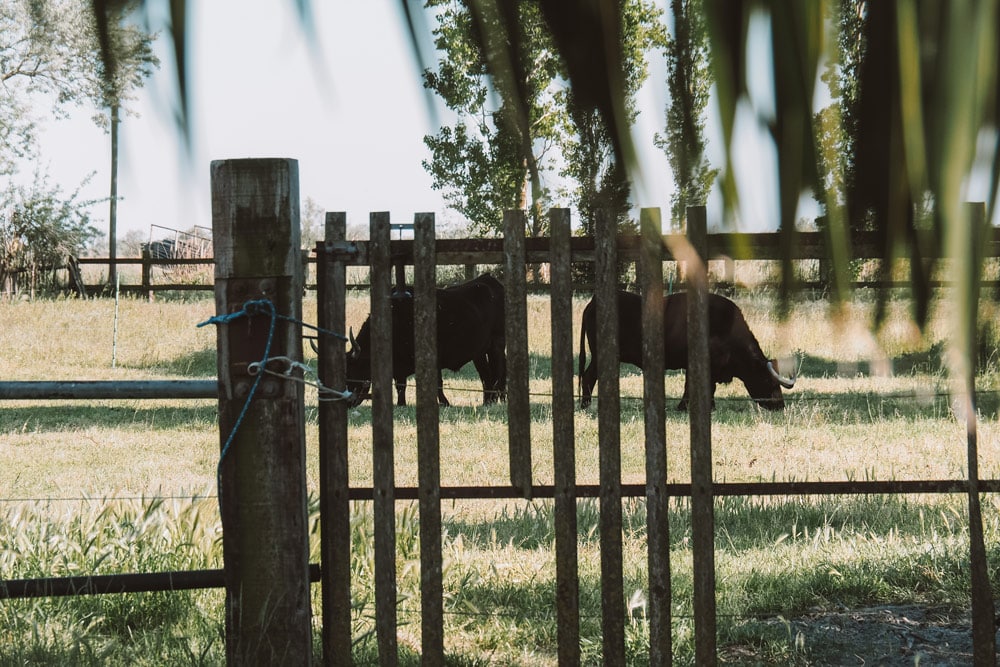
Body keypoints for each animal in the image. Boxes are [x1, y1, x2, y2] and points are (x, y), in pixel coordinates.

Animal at [348, 272, 508, 408]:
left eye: (355, 369)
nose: (348, 402)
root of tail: (489, 280)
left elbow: (437, 383)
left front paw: (444, 402)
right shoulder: (399, 368)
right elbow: (401, 386)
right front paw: (401, 403)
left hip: (497, 345)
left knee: (499, 371)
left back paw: (498, 398)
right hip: (479, 353)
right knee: (486, 375)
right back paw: (488, 401)